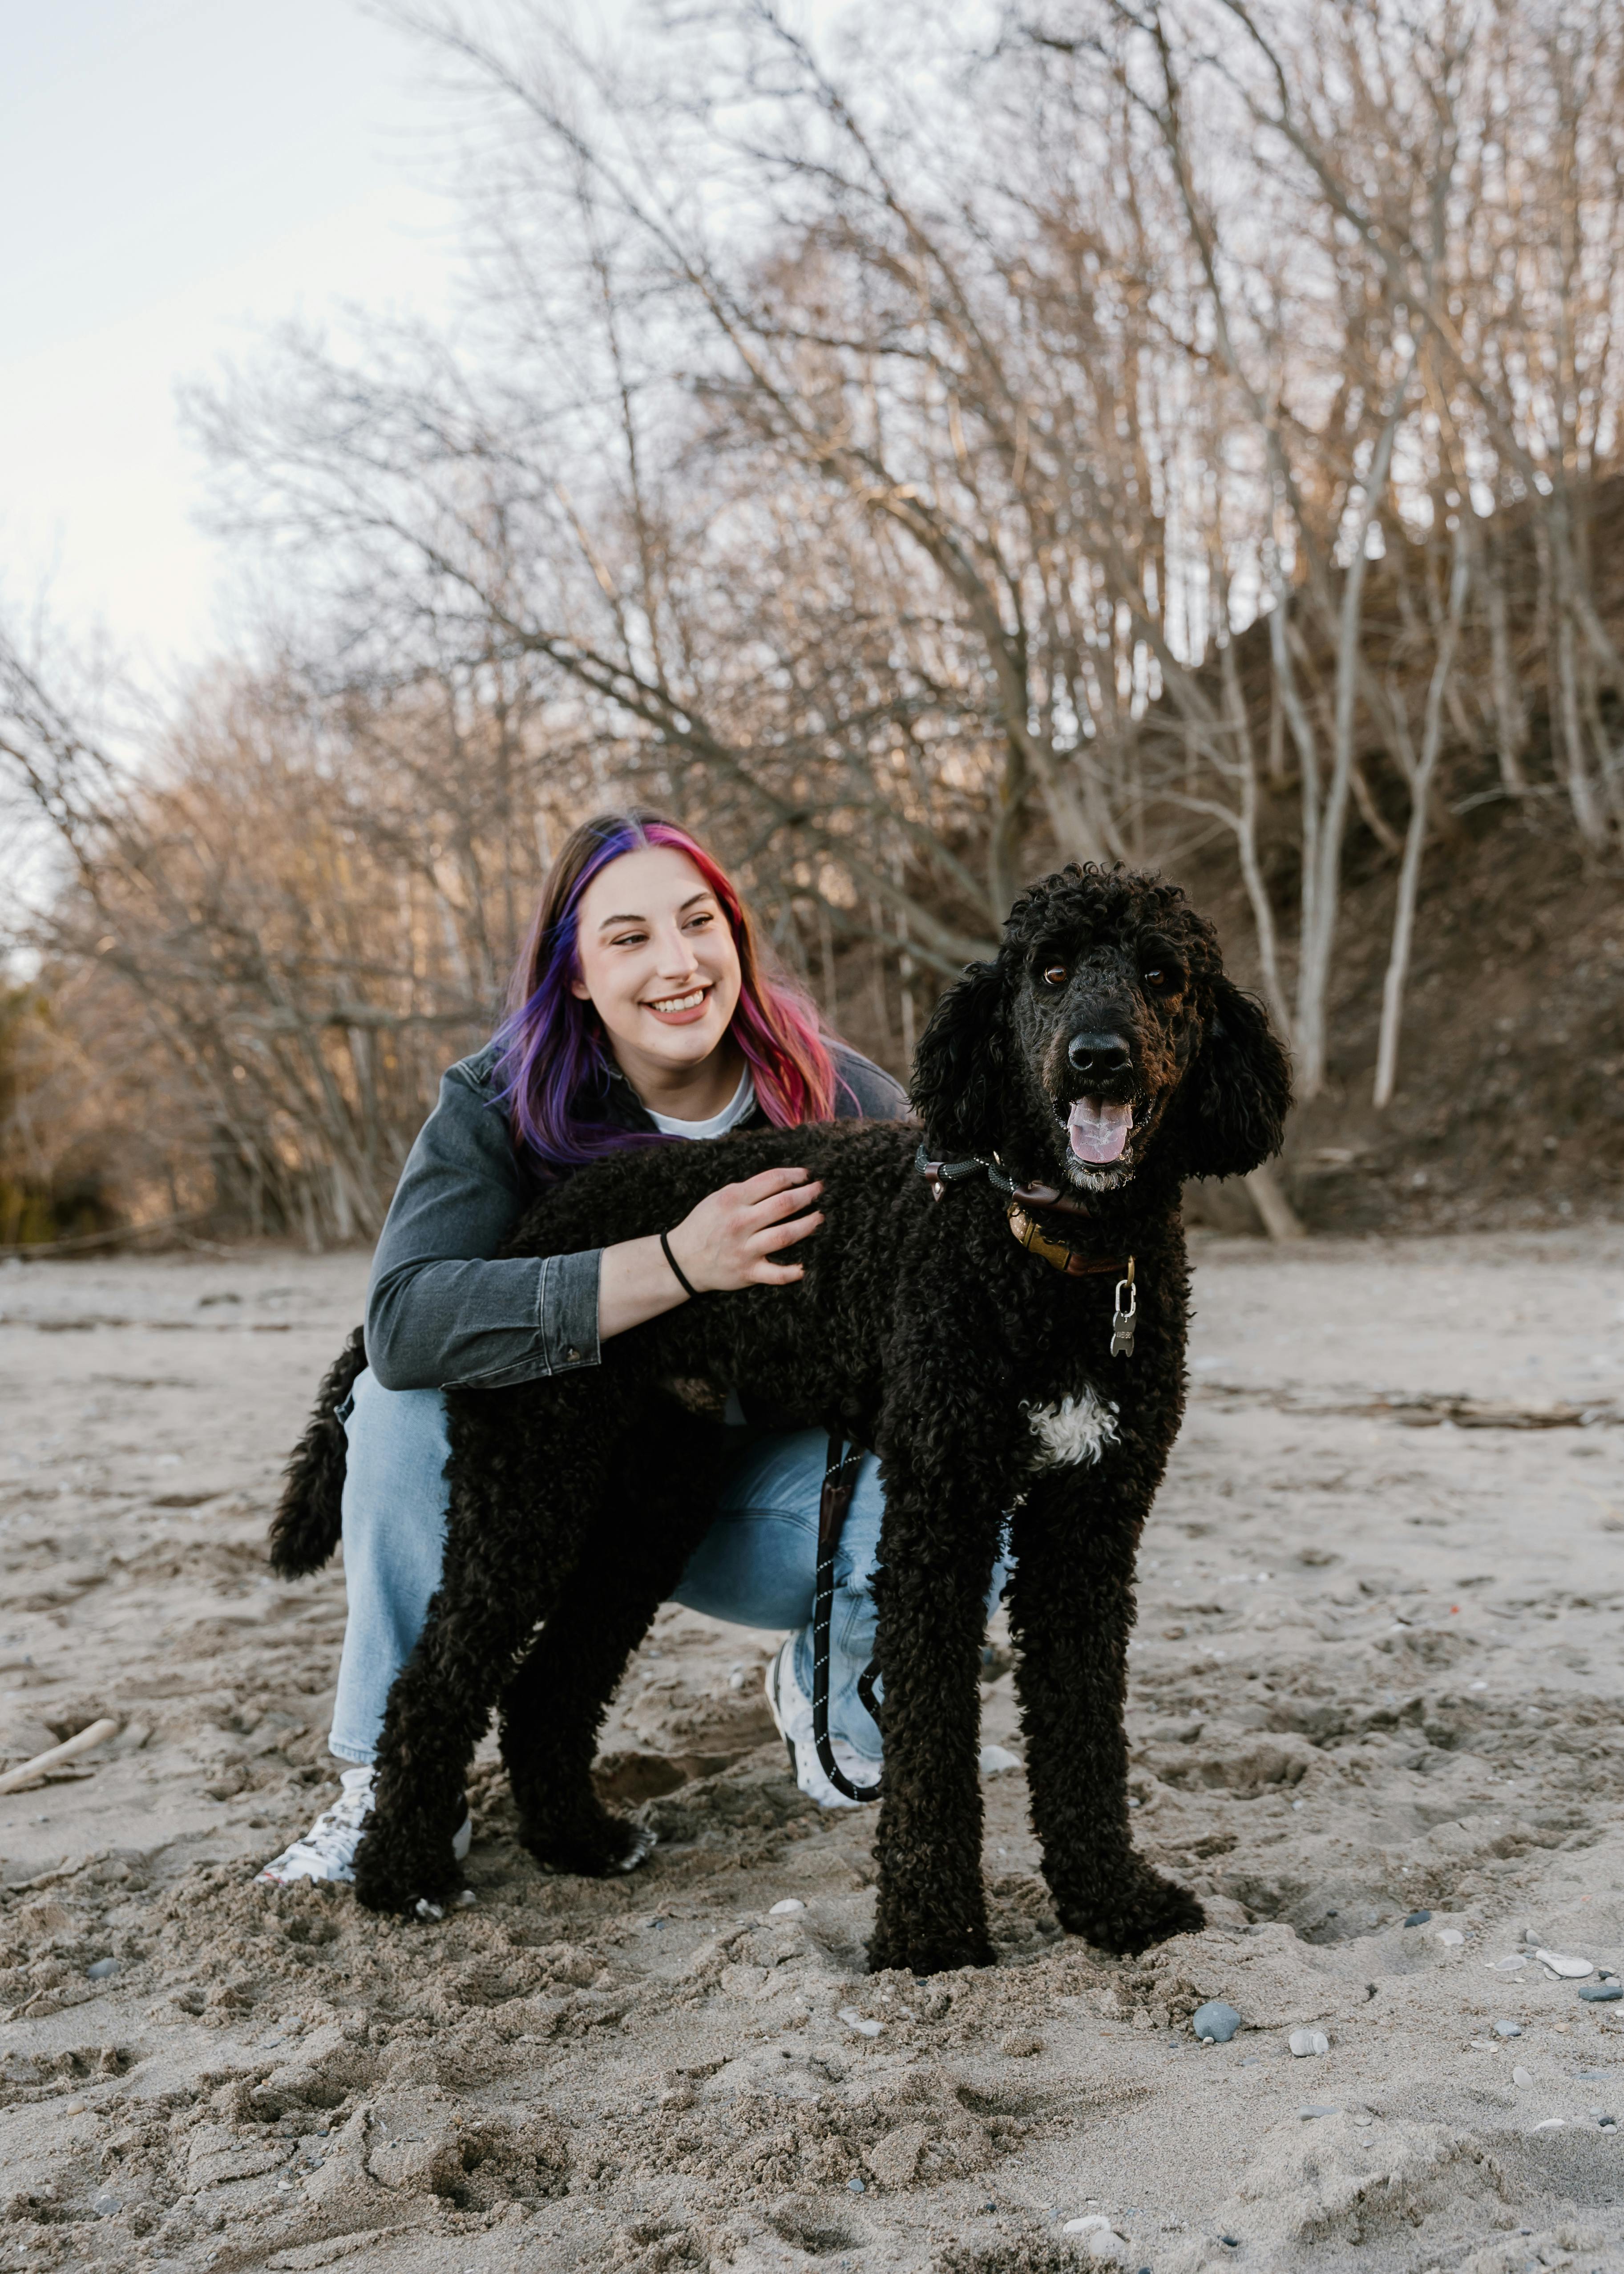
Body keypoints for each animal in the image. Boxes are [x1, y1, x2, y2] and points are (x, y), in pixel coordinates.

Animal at [279, 864, 1292, 1974]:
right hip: (530, 1489)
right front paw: (931, 1931)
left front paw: (1113, 1900)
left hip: (646, 1506)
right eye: (1051, 970)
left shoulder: (1089, 1522)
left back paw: (577, 1841)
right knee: (435, 1677)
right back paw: (401, 1874)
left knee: (548, 1681)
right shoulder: (941, 1510)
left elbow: (1084, 1720)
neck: (1050, 1252)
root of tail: (521, 1237)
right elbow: (932, 1735)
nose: (1097, 1056)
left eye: (1161, 977)